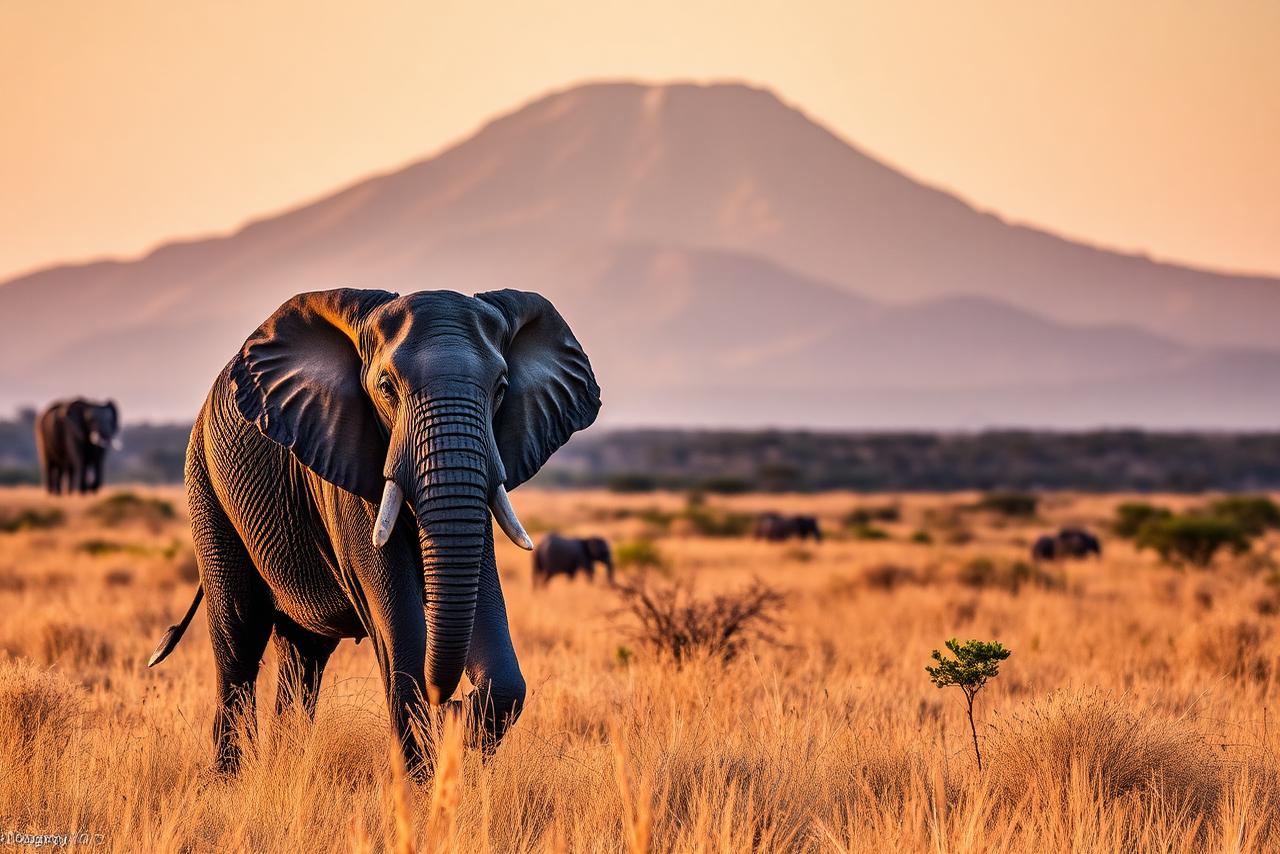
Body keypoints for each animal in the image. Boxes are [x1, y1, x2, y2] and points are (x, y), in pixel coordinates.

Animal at [146, 288, 600, 776]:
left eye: (500, 389)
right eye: (386, 388)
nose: (455, 702)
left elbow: (496, 652)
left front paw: (459, 732)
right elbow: (397, 620)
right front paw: (420, 783)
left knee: (304, 654)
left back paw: (286, 766)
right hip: (205, 483)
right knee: (238, 639)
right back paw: (229, 779)